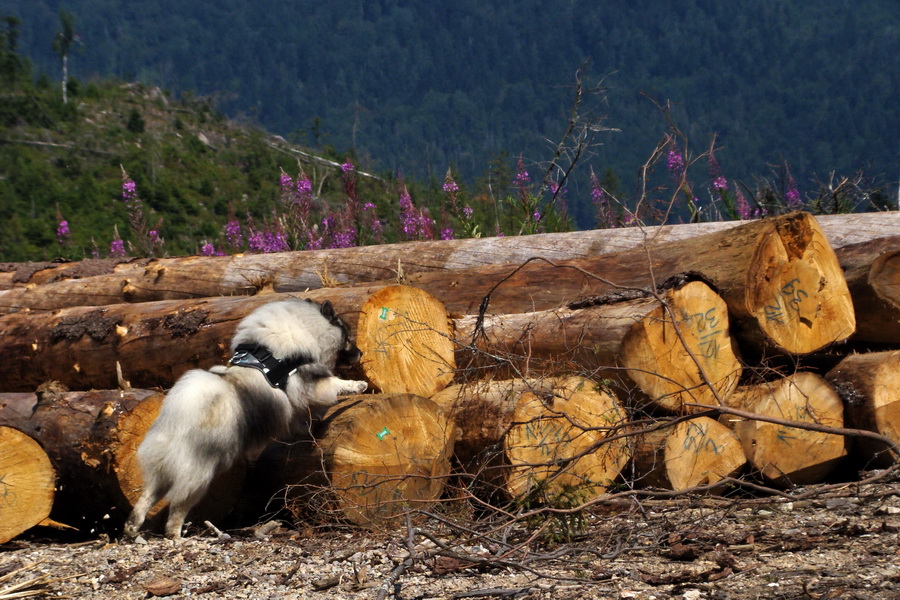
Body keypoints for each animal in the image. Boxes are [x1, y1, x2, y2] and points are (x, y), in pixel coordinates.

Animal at [125, 300, 368, 540]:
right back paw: (175, 535)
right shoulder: (308, 381)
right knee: (177, 508)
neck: (306, 327)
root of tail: (178, 422)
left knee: (147, 497)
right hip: (198, 476)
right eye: (348, 339)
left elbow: (301, 419)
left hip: (161, 471)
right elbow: (334, 384)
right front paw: (357, 386)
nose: (361, 353)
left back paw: (132, 526)